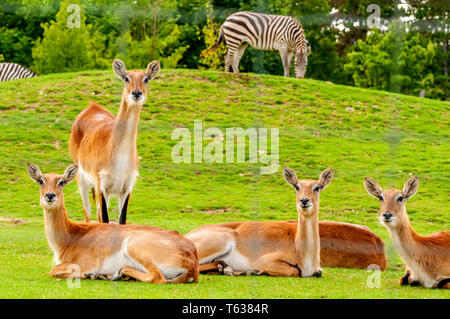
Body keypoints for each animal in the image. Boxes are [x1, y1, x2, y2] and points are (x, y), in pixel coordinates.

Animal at [26, 164, 199, 284]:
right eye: (40, 180)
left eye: (61, 181)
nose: (50, 195)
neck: (71, 237)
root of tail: (192, 263)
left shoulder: (84, 262)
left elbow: (53, 270)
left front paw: (91, 274)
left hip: (134, 244)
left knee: (157, 277)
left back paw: (112, 273)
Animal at [69, 58, 161, 224]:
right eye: (126, 78)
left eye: (146, 79)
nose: (136, 93)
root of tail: (92, 107)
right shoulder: (102, 185)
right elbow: (105, 219)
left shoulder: (127, 187)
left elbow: (121, 220)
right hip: (81, 177)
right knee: (88, 213)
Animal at [186, 168, 386, 278]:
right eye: (297, 186)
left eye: (317, 187)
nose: (304, 200)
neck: (303, 254)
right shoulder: (266, 260)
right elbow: (294, 271)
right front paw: (256, 271)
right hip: (220, 240)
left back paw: (227, 269)